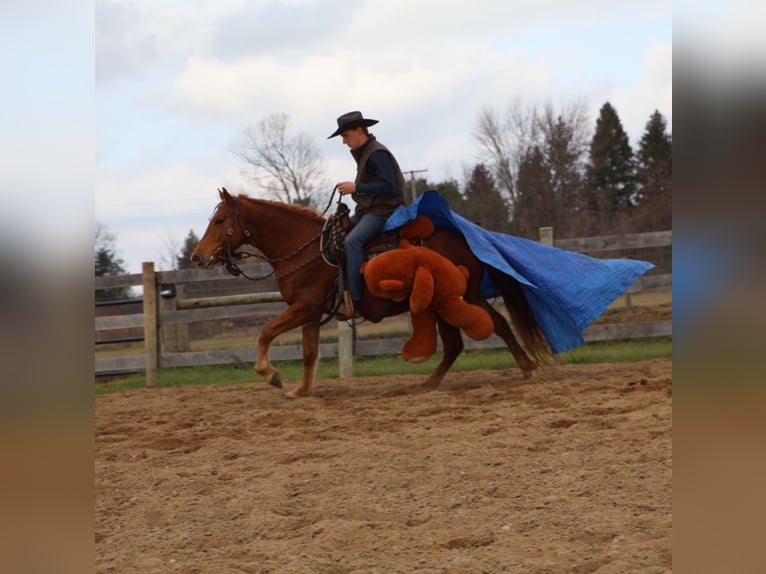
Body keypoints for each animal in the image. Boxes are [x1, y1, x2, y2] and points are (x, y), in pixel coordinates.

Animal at [191, 187, 551, 398]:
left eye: (220, 221)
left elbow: (265, 333)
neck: (306, 249)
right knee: (454, 345)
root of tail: (465, 238)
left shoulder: (302, 307)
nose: (197, 257)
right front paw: (302, 391)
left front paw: (272, 376)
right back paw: (428, 384)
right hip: (440, 305)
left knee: (498, 325)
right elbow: (308, 352)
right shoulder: (310, 312)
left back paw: (527, 369)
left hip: (466, 298)